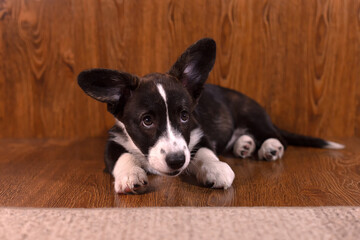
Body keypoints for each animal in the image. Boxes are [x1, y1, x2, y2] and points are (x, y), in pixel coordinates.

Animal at [78, 38, 344, 195]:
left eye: (184, 116)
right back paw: (244, 145)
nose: (176, 161)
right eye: (147, 120)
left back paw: (269, 147)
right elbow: (123, 157)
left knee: (278, 137)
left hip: (252, 114)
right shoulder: (112, 142)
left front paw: (216, 169)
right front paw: (131, 175)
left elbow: (205, 153)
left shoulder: (198, 135)